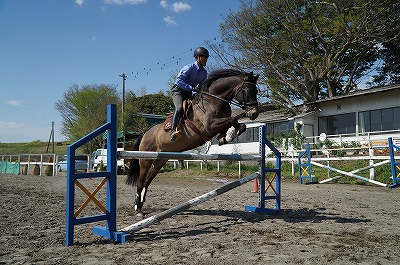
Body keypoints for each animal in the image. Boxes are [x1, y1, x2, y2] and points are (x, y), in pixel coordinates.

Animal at [126, 69, 260, 216]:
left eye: (256, 91)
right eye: (247, 90)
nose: (254, 113)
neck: (214, 99)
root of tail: (144, 134)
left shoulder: (217, 125)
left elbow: (239, 125)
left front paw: (225, 137)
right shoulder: (209, 126)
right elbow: (233, 119)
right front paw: (228, 136)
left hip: (160, 160)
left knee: (147, 182)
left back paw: (141, 205)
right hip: (145, 160)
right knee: (140, 182)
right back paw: (137, 209)